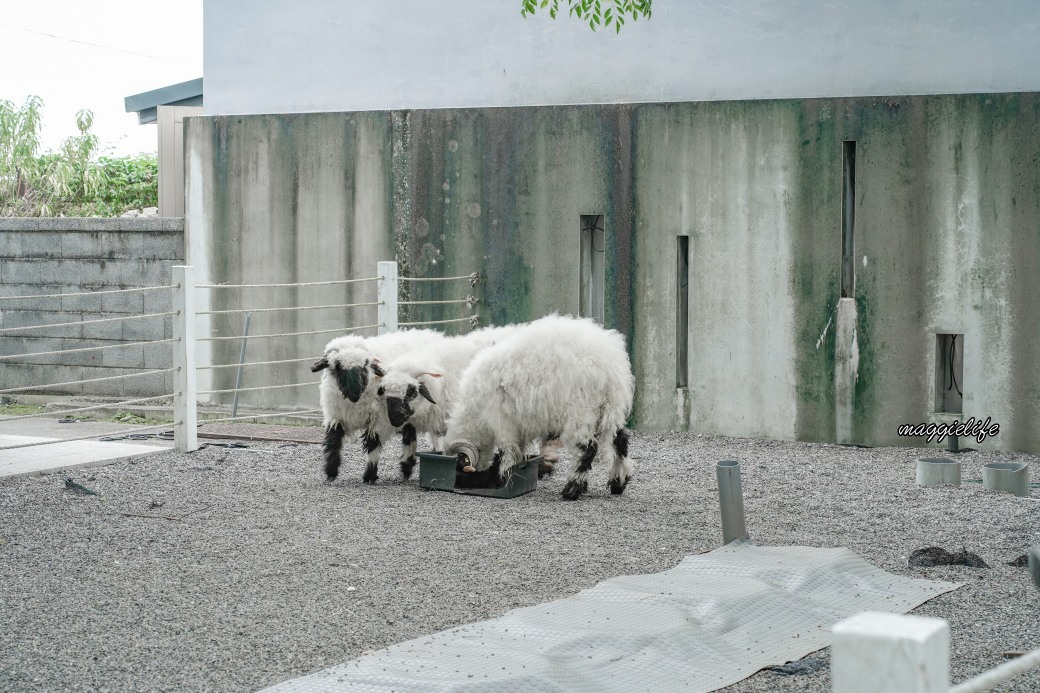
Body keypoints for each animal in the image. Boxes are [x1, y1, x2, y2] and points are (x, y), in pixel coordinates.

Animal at [305, 328, 445, 480]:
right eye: (337, 366)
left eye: (365, 364)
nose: (354, 392)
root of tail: (432, 333)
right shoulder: (336, 416)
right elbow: (333, 440)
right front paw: (331, 471)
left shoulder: (381, 419)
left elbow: (373, 442)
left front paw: (369, 475)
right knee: (410, 432)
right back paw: (407, 467)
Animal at [440, 312, 632, 497]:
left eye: (459, 466)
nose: (458, 482)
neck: (475, 415)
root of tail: (610, 369)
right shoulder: (518, 425)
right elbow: (517, 452)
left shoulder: (502, 420)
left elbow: (506, 453)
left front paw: (498, 480)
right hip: (610, 410)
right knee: (620, 441)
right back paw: (618, 482)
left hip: (582, 411)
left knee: (586, 449)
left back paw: (573, 489)